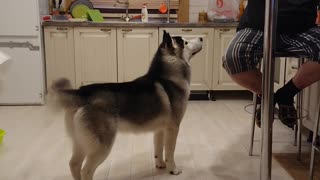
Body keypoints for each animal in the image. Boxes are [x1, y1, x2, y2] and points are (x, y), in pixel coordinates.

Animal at [49, 31, 202, 180]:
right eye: (185, 42)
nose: (201, 37)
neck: (169, 77)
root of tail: (81, 92)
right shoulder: (173, 128)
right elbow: (170, 152)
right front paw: (173, 169)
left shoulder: (160, 129)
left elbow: (158, 149)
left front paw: (160, 165)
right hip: (102, 147)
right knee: (86, 171)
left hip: (81, 142)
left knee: (74, 164)